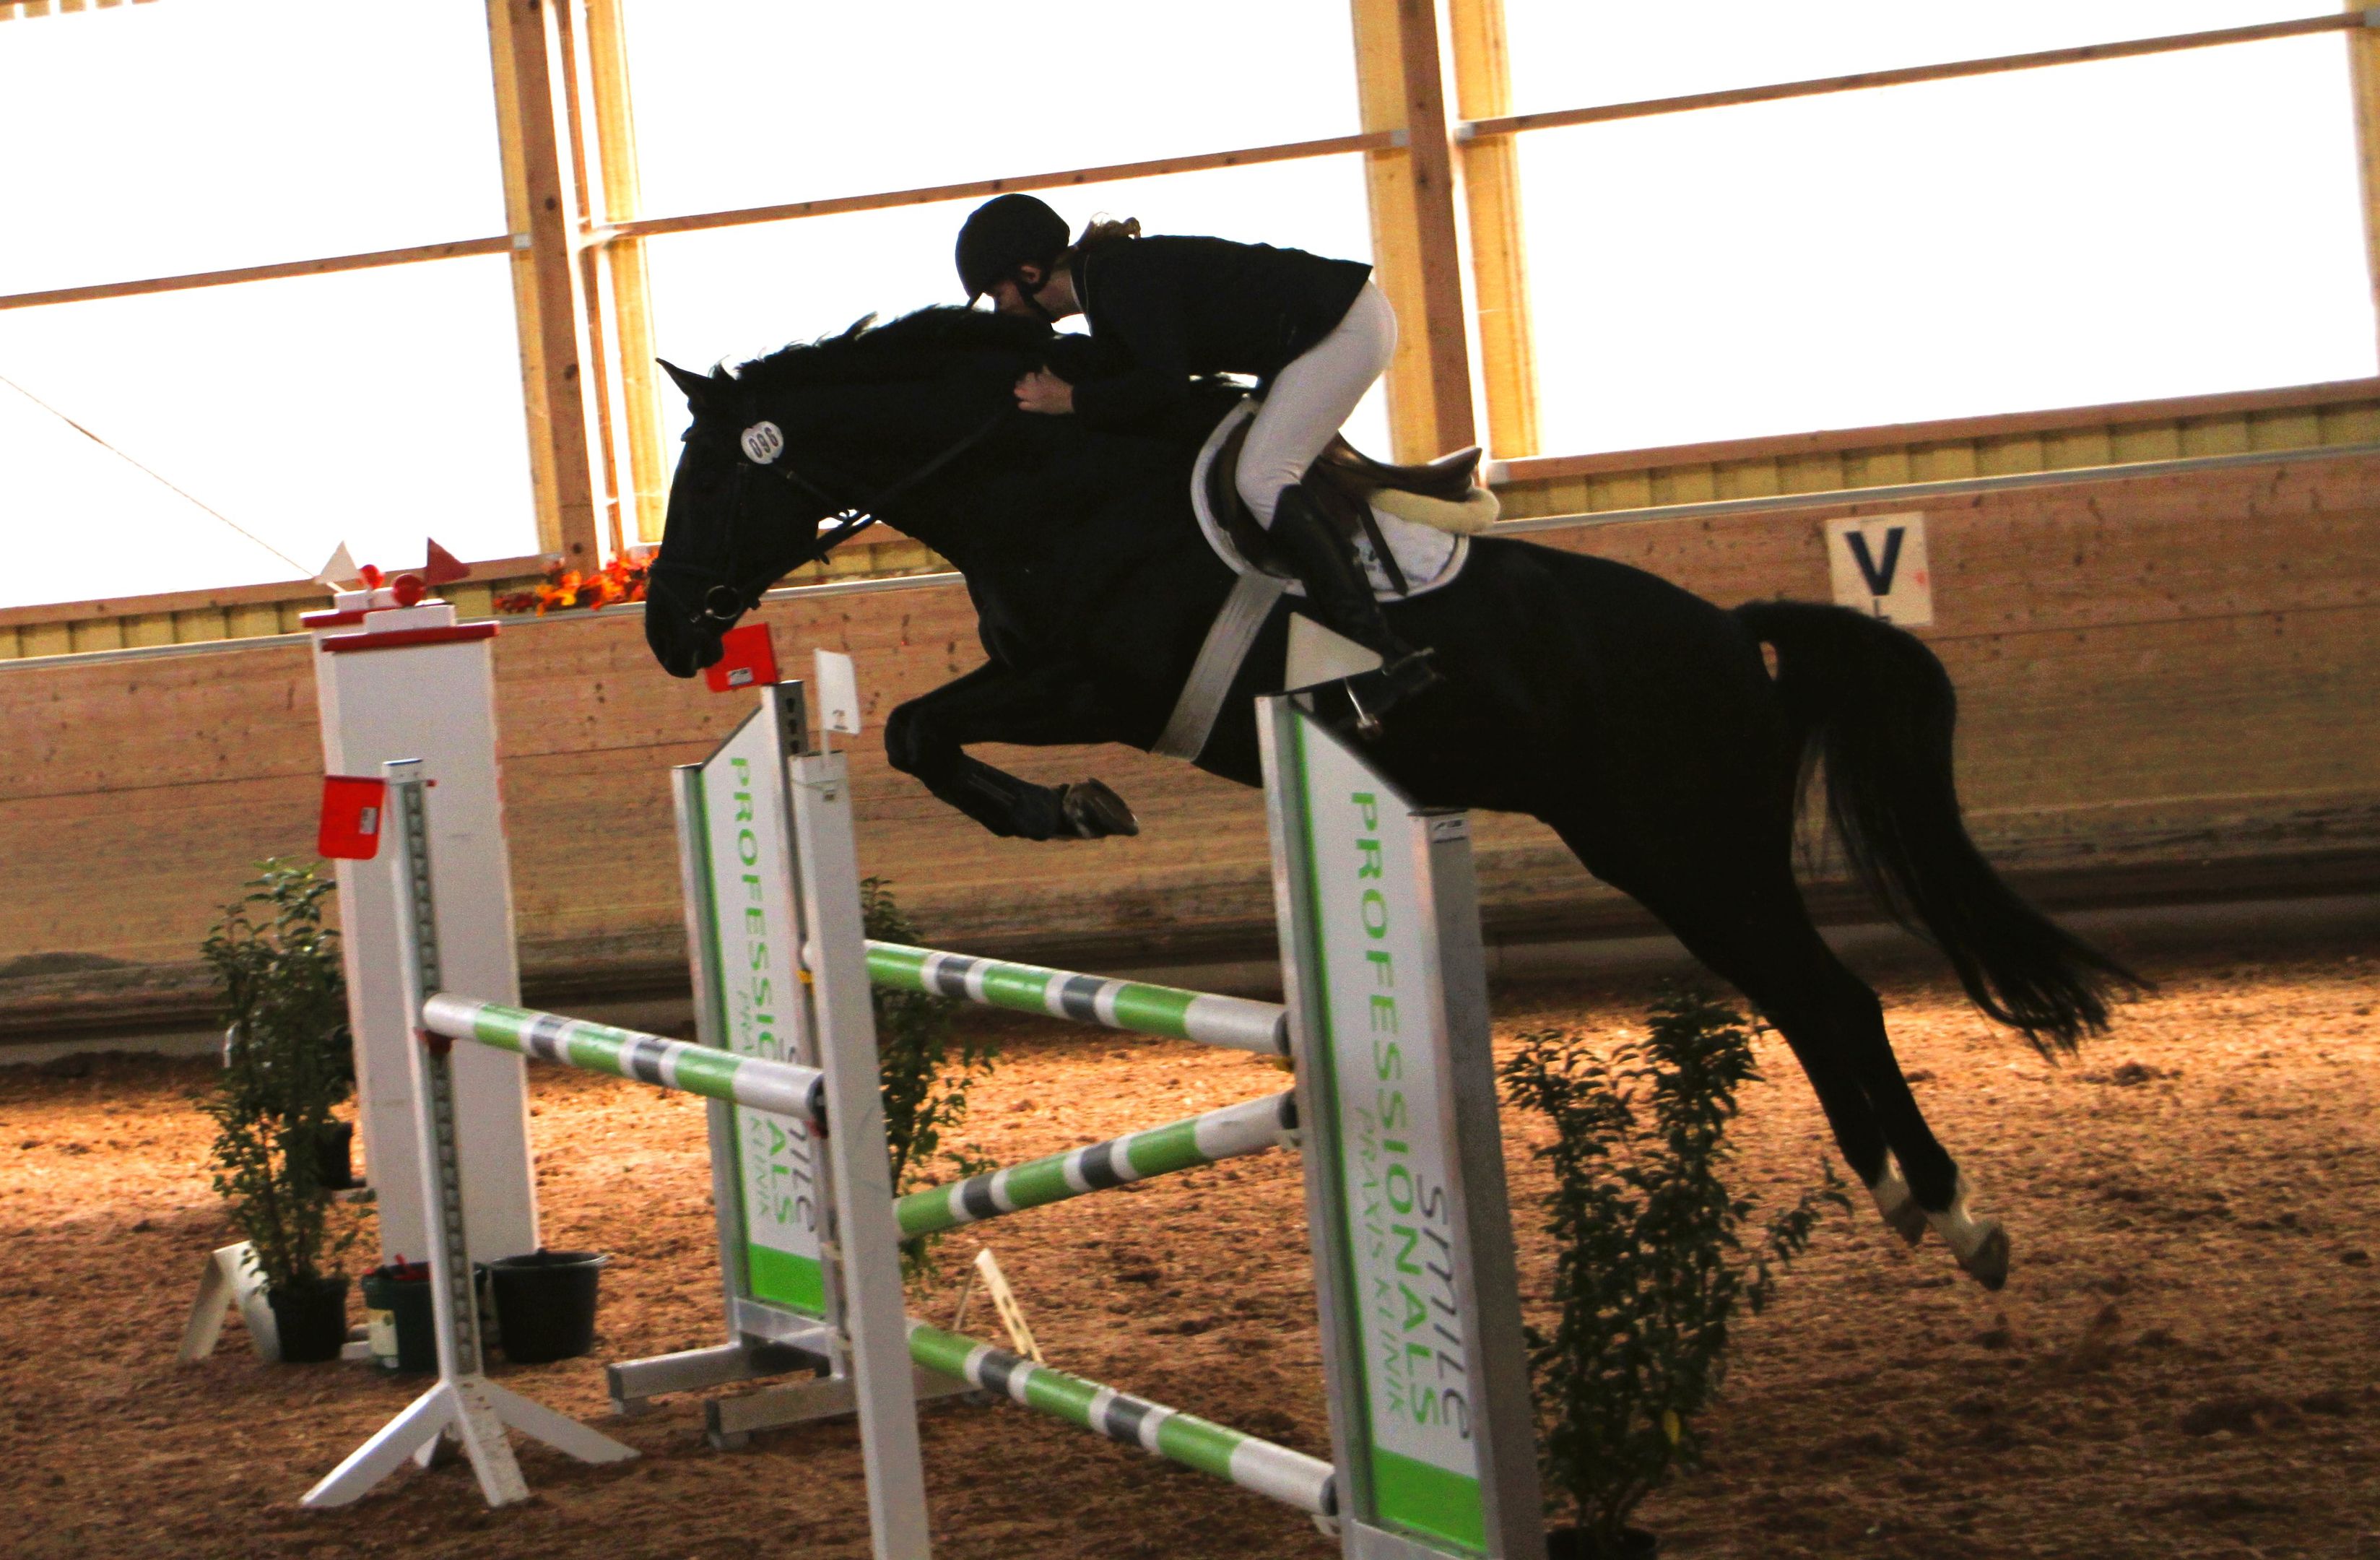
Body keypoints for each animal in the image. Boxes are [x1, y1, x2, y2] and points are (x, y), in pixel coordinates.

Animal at [642, 304, 2137, 1289]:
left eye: (709, 479)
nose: (664, 633)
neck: (1044, 474)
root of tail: (1734, 634)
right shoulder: (1047, 679)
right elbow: (912, 729)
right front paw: (1061, 812)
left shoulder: (1101, 682)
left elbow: (918, 729)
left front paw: (1063, 812)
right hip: (1658, 851)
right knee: (1807, 1000)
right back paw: (1906, 1201)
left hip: (1689, 846)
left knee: (1833, 997)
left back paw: (1952, 1213)